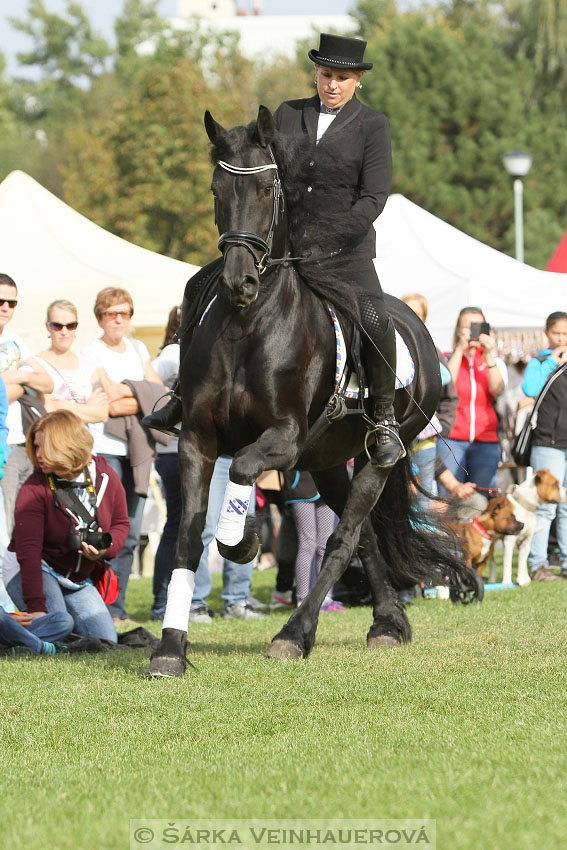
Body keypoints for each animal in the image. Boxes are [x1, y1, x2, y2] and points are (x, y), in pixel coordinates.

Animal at [146, 106, 474, 676]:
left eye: (267, 189)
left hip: (376, 455)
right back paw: (387, 622)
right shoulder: (197, 439)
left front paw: (242, 540)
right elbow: (188, 536)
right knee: (364, 535)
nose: (239, 282)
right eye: (216, 189)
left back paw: (295, 633)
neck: (248, 326)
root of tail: (414, 323)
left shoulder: (285, 436)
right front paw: (170, 647)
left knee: (344, 538)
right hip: (328, 460)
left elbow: (244, 469)